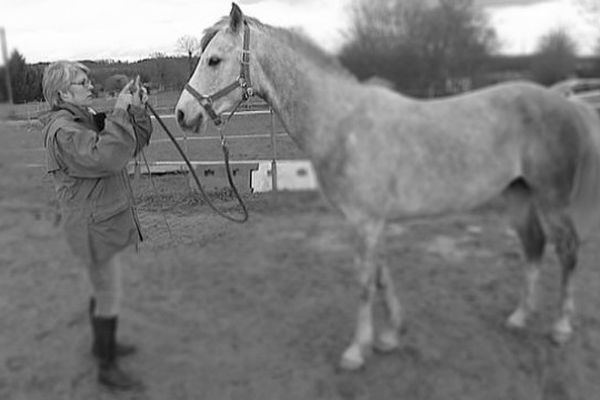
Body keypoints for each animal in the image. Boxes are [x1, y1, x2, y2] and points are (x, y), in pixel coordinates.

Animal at [175, 3, 600, 372]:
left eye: (214, 60)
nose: (182, 114)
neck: (343, 123)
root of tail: (567, 103)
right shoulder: (369, 221)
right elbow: (381, 275)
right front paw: (392, 335)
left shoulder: (365, 222)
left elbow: (365, 282)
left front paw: (355, 351)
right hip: (519, 194)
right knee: (534, 246)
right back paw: (519, 317)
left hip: (551, 198)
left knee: (567, 250)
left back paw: (561, 327)